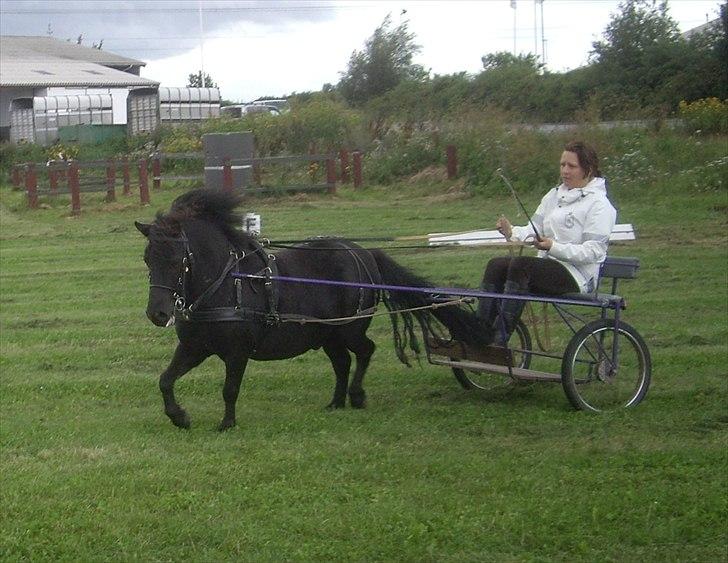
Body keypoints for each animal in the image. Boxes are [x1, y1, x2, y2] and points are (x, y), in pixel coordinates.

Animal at [136, 187, 484, 430]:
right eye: (147, 258)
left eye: (177, 260)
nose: (157, 313)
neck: (223, 284)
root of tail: (365, 253)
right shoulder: (194, 347)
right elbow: (165, 380)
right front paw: (179, 417)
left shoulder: (237, 352)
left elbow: (229, 389)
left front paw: (226, 423)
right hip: (327, 335)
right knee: (342, 362)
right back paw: (336, 402)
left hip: (348, 328)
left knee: (365, 351)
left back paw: (356, 396)